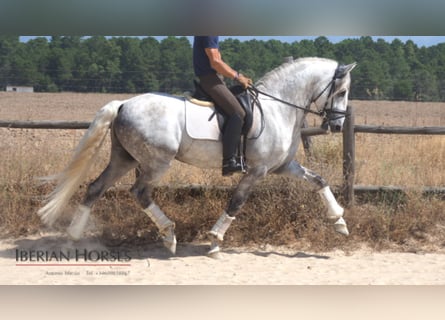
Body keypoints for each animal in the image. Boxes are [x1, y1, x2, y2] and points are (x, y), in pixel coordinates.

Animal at [38, 57, 358, 258]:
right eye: (342, 91)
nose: (337, 126)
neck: (279, 107)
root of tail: (123, 104)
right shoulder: (256, 171)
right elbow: (236, 202)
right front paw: (215, 241)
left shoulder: (281, 166)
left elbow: (319, 181)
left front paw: (340, 222)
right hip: (156, 162)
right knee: (139, 192)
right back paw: (168, 235)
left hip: (124, 158)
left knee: (96, 188)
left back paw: (74, 237)